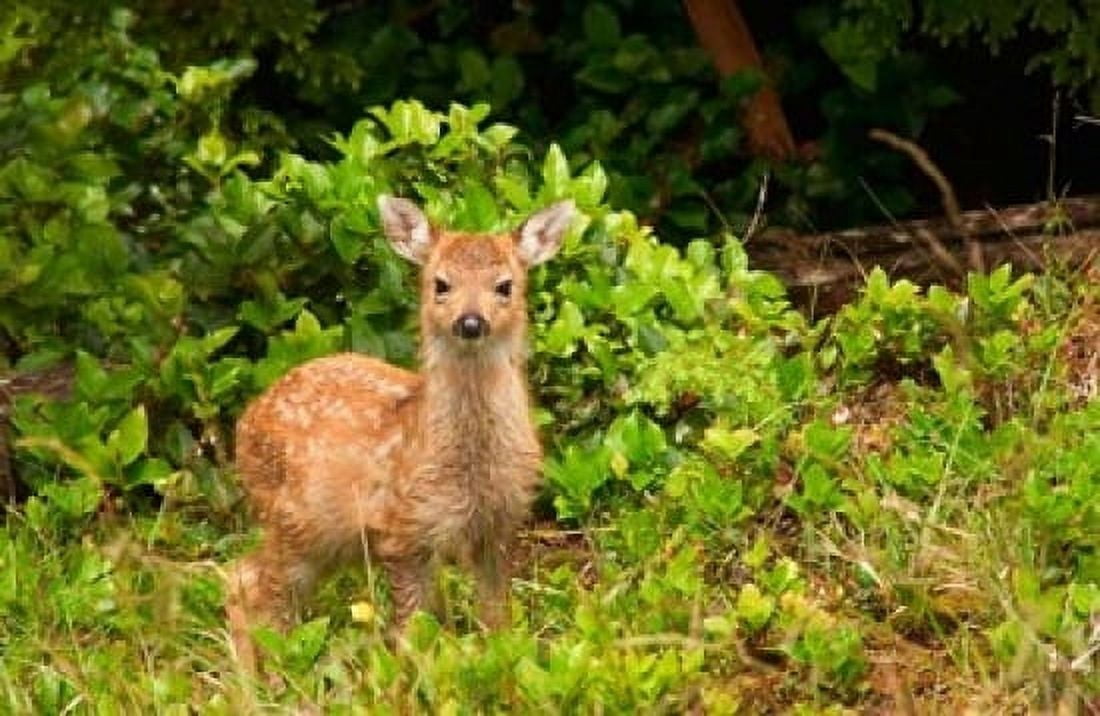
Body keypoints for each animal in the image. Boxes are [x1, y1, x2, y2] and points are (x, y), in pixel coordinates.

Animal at [225, 195, 574, 672]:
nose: (470, 322)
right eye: (440, 284)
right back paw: (263, 680)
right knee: (251, 583)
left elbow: (496, 619)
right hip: (293, 521)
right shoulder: (403, 531)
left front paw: (505, 665)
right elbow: (411, 635)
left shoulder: (500, 524)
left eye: (505, 286)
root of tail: (243, 424)